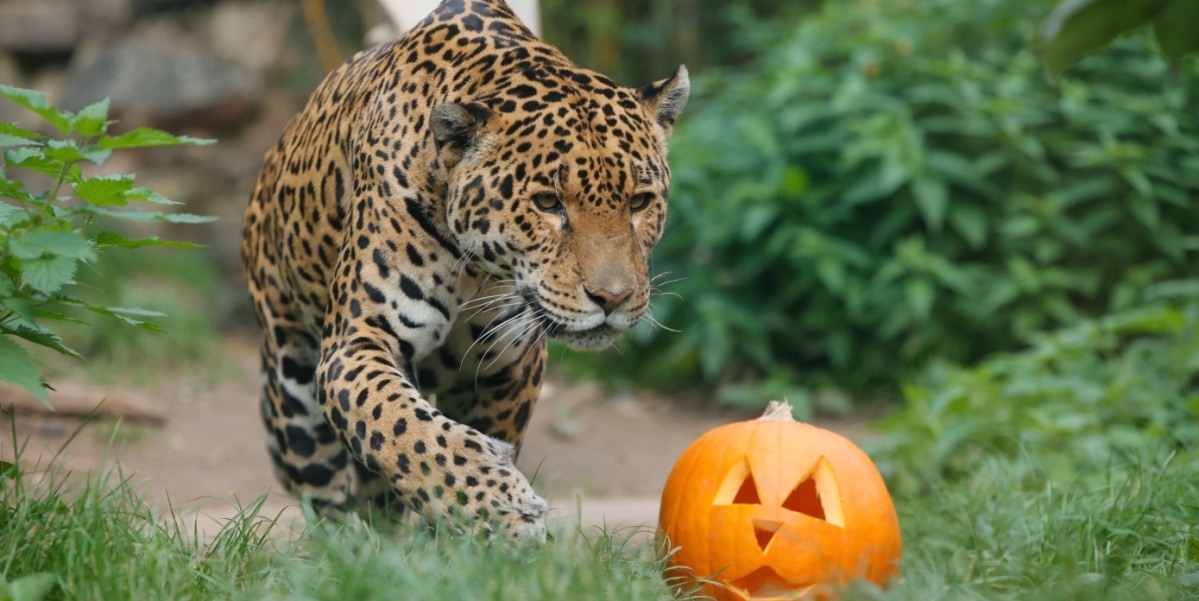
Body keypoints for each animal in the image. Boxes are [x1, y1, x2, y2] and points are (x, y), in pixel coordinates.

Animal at [241, 0, 689, 541]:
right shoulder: (356, 343)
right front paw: (503, 510)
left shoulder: (509, 365)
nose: (613, 298)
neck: (478, 264)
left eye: (639, 202)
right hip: (293, 397)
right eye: (547, 203)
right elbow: (405, 427)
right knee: (326, 498)